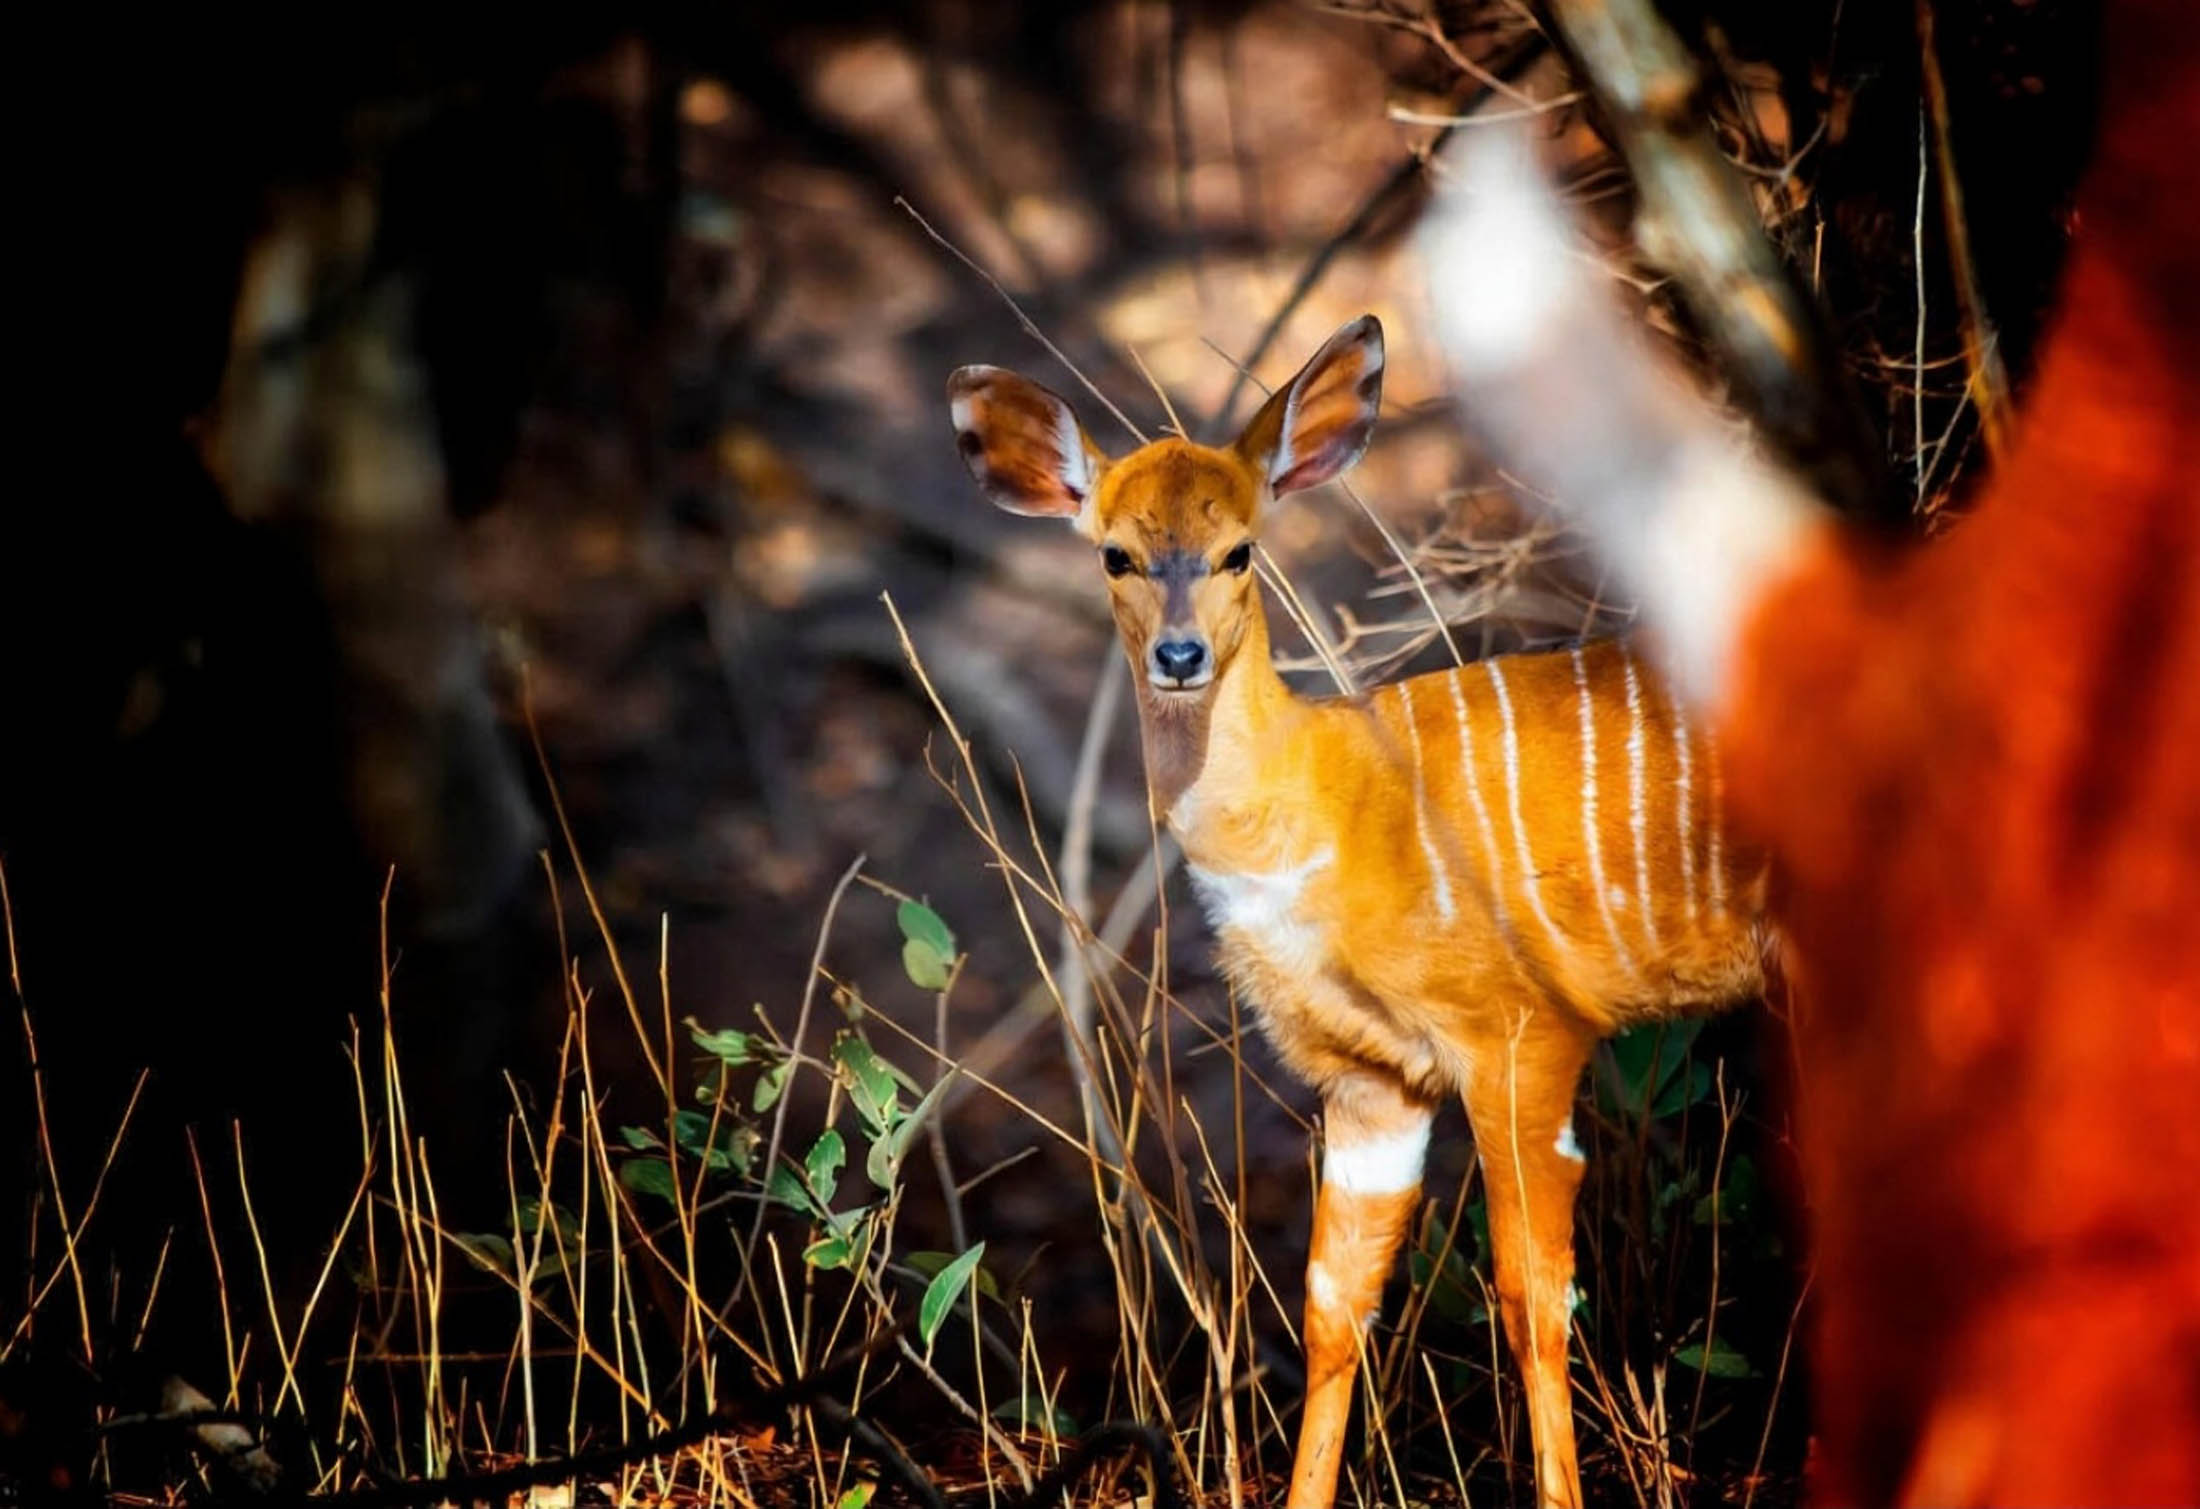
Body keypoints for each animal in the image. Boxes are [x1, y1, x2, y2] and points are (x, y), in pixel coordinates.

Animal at [948, 317, 1769, 1508]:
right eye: (1115, 554)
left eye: (1240, 550)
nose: (1181, 657)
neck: (1314, 819)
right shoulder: (1373, 1080)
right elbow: (1335, 1303)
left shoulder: (1522, 1035)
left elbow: (1531, 1298)